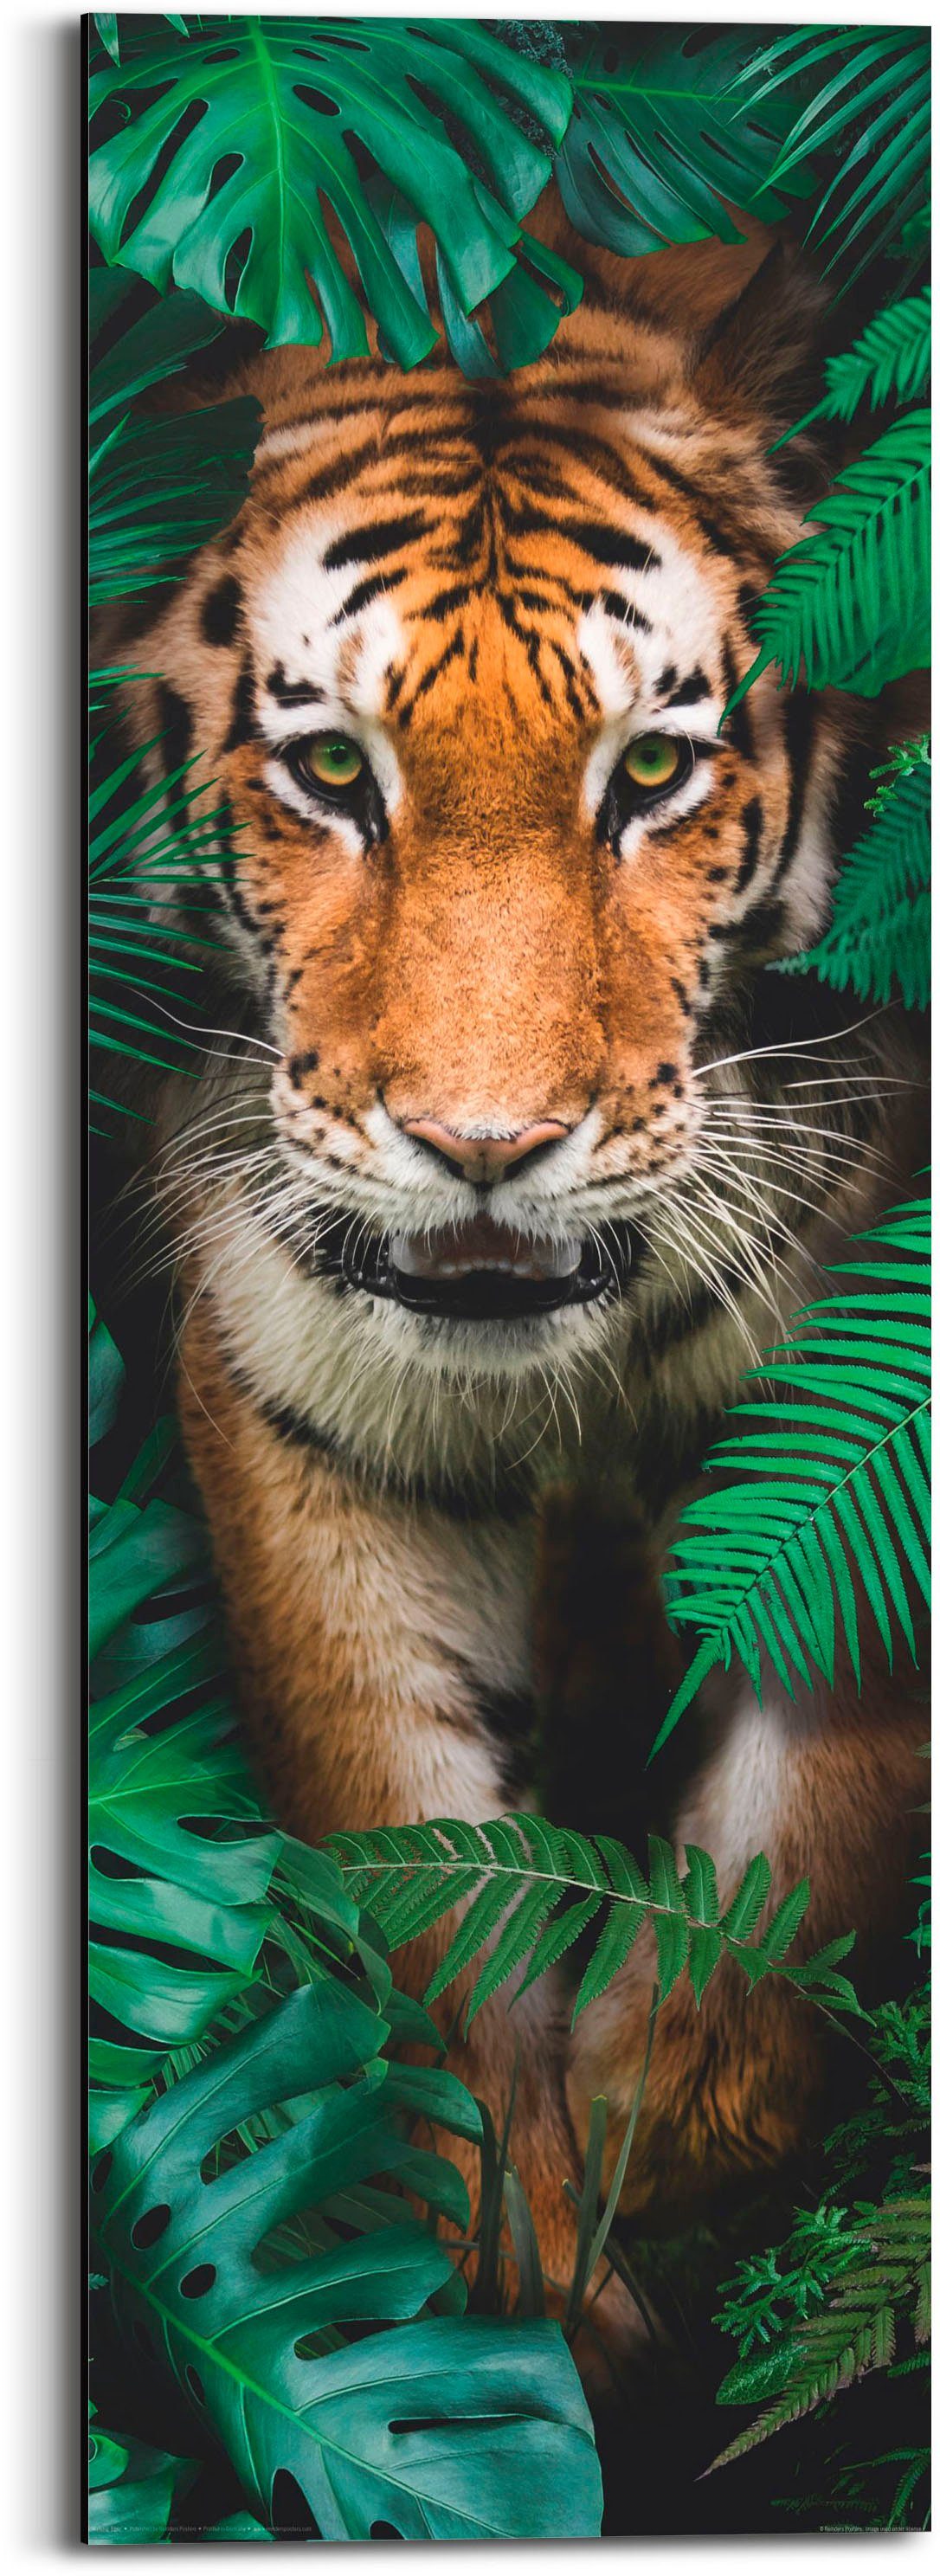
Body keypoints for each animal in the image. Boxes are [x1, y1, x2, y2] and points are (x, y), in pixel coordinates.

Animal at [108, 203, 927, 2373]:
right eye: (329, 768)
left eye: (650, 772)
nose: (485, 1145)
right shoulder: (301, 1412)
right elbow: (401, 1846)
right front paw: (501, 2248)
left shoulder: (850, 1434)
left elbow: (799, 1851)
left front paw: (665, 2148)